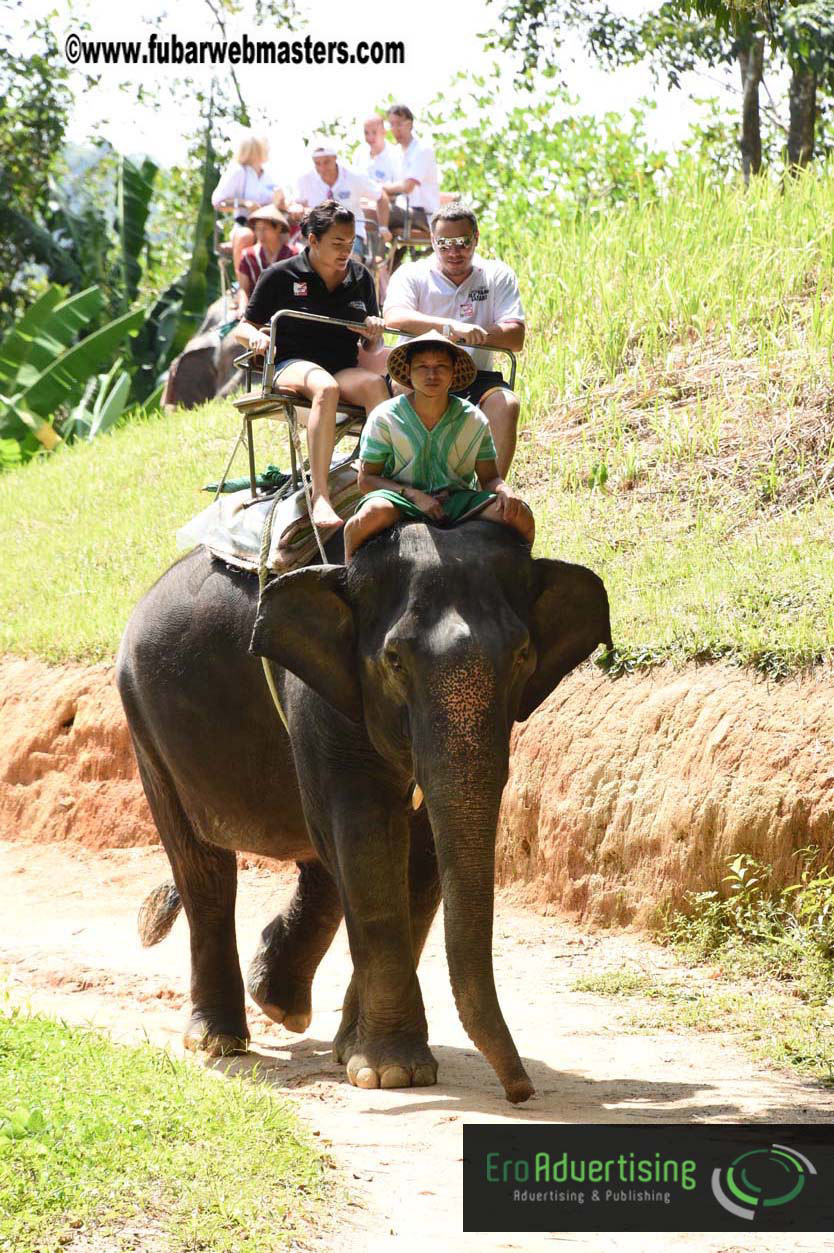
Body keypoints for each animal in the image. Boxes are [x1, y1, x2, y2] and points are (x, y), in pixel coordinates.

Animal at [117, 519, 611, 1103]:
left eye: (522, 656)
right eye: (394, 661)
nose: (521, 1092)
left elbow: (421, 859)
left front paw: (359, 1055)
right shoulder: (319, 696)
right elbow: (367, 839)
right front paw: (393, 1073)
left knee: (318, 863)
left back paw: (280, 1001)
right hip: (144, 725)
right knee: (204, 871)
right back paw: (219, 1040)